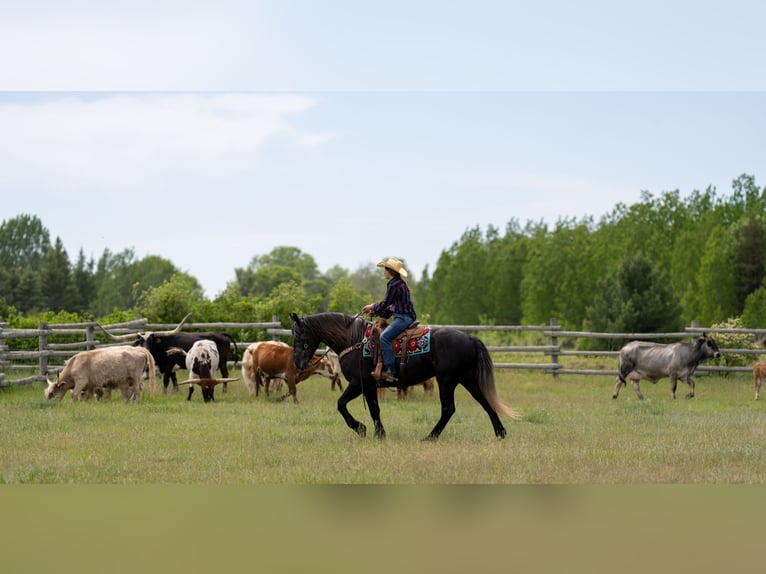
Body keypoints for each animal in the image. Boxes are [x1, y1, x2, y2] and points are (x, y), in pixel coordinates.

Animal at [290, 312, 520, 440]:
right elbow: (374, 409)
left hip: (447, 381)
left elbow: (341, 404)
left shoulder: (358, 383)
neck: (353, 340)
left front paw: (362, 429)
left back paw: (430, 437)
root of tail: (470, 338)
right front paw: (378, 433)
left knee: (448, 409)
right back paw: (500, 433)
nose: (299, 364)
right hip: (467, 379)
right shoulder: (370, 386)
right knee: (485, 403)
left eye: (300, 335)